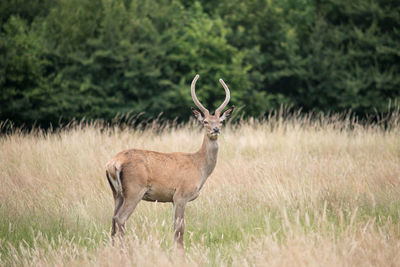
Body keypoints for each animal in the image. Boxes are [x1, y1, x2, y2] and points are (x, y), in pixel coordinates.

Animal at [104, 74, 234, 250]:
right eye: (205, 121)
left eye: (221, 121)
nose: (216, 129)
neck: (199, 167)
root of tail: (113, 163)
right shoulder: (181, 194)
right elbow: (180, 228)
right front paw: (180, 251)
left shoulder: (173, 199)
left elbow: (175, 227)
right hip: (134, 189)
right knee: (120, 218)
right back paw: (125, 249)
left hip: (116, 192)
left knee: (112, 218)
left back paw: (113, 249)